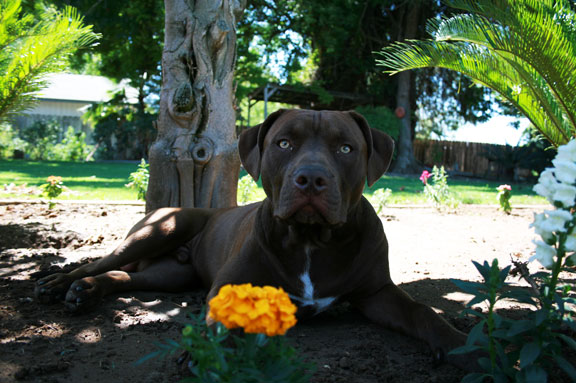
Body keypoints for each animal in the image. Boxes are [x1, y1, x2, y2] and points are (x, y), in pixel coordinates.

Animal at [35, 109, 468, 368]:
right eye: (284, 143)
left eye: (346, 147)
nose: (311, 177)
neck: (310, 240)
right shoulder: (229, 286)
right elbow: (222, 322)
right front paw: (206, 354)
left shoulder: (377, 292)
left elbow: (423, 312)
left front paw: (464, 347)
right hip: (163, 228)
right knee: (101, 261)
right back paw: (59, 284)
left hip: (170, 275)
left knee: (127, 277)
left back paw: (88, 291)